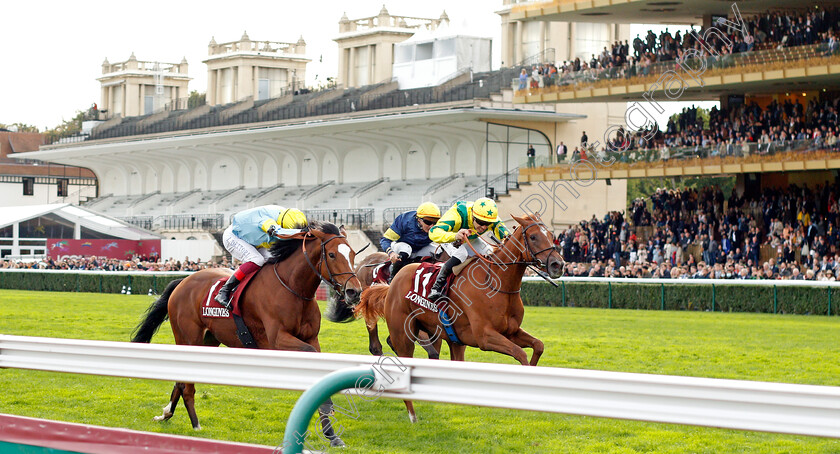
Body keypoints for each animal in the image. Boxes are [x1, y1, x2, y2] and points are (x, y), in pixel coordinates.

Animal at [133, 222, 362, 446]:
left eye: (352, 254)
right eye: (331, 254)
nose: (354, 292)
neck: (292, 288)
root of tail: (181, 282)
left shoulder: (312, 338)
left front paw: (332, 435)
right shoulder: (278, 340)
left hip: (208, 340)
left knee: (180, 380)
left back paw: (166, 414)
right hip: (187, 337)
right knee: (185, 383)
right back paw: (195, 424)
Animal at [358, 213, 560, 422]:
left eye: (551, 235)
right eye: (533, 237)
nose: (558, 264)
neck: (497, 282)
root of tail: (393, 281)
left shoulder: (511, 331)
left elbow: (538, 345)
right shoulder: (485, 337)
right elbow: (520, 353)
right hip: (403, 335)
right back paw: (412, 415)